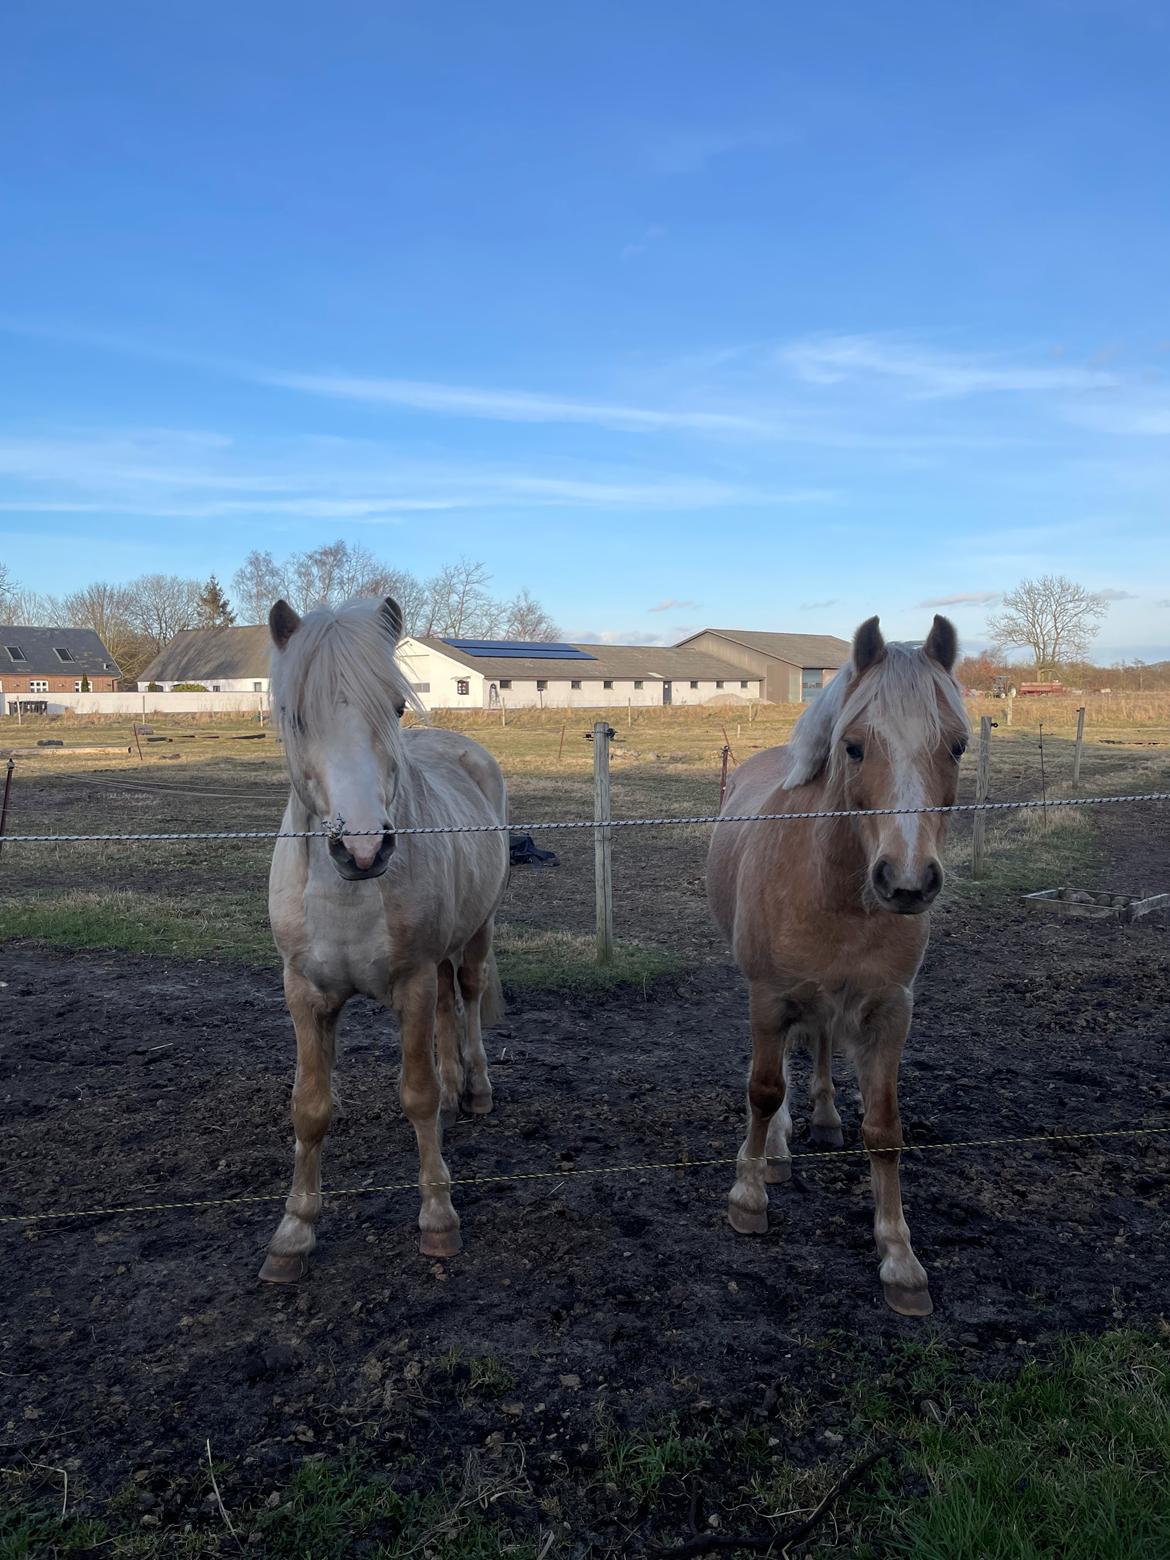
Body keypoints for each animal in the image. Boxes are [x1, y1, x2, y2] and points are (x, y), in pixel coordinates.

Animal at [259, 595, 509, 1282]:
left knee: (467, 995)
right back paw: (455, 1087)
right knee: (451, 1007)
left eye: (396, 706)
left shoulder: (412, 982)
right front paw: (293, 1232)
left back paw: (474, 1089)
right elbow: (309, 1107)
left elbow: (416, 1097)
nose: (364, 848)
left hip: (477, 931)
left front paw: (438, 1218)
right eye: (294, 714)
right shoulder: (304, 993)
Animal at [707, 615, 968, 1316]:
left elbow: (885, 1129)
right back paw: (775, 1149)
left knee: (822, 1040)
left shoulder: (890, 1011)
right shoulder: (768, 997)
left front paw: (900, 1258)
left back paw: (823, 1119)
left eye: (958, 747)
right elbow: (764, 1090)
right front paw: (749, 1195)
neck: (836, 893)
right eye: (852, 747)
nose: (907, 882)